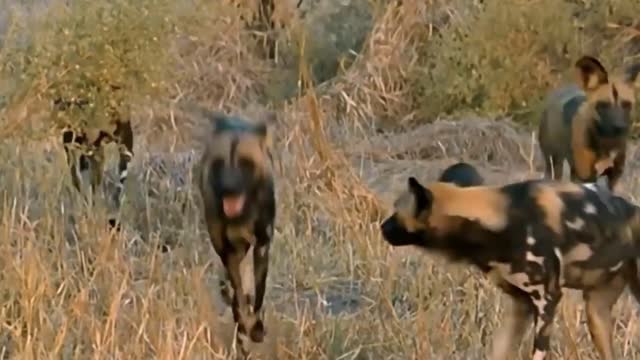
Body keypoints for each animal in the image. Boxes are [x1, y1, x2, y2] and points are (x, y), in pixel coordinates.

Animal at [194, 107, 276, 358]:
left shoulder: (262, 246)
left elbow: (259, 293)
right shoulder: (228, 251)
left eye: (245, 163)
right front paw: (244, 329)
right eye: (220, 163)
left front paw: (256, 328)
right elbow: (238, 300)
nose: (229, 188)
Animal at [380, 175, 640, 360]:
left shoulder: (547, 300)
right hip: (596, 313)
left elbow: (537, 352)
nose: (382, 226)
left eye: (397, 210)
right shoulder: (520, 305)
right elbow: (501, 351)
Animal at [536, 55, 636, 191]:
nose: (619, 127)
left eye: (627, 105)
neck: (606, 142)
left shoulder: (612, 179)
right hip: (554, 164)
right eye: (603, 105)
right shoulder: (585, 177)